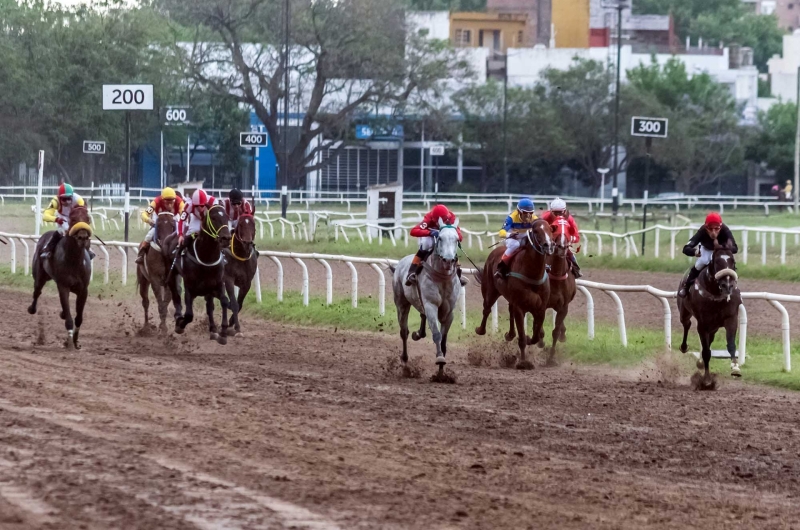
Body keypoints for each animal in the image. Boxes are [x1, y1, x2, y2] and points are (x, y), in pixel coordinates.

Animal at [390, 220, 460, 380]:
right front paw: (439, 359)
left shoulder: (449, 312)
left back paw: (418, 334)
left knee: (421, 318)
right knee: (404, 331)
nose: (448, 260)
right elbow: (437, 334)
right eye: (439, 238)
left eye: (457, 239)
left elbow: (444, 342)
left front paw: (441, 374)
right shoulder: (431, 305)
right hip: (401, 303)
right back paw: (405, 363)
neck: (442, 278)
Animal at [476, 219, 552, 368]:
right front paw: (523, 362)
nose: (548, 245)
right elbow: (522, 337)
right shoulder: (520, 308)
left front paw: (533, 339)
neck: (532, 275)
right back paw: (480, 330)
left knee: (509, 311)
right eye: (536, 231)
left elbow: (535, 335)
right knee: (486, 309)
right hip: (490, 291)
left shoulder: (540, 308)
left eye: (551, 229)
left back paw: (510, 334)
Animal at [680, 245, 740, 386]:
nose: (727, 285)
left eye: (733, 262)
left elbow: (731, 344)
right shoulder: (702, 324)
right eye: (717, 262)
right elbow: (706, 352)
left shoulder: (731, 318)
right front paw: (707, 380)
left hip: (714, 326)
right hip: (684, 311)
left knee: (710, 338)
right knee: (686, 324)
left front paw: (735, 367)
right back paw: (684, 347)